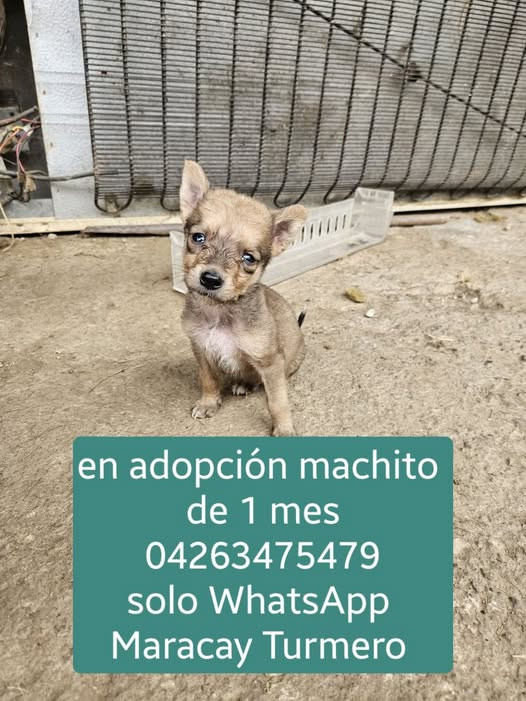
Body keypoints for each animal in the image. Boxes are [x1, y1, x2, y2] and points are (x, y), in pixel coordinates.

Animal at [179, 160, 307, 436]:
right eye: (197, 237)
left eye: (249, 258)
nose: (210, 279)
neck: (219, 311)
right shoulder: (201, 349)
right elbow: (208, 380)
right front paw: (208, 403)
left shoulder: (270, 363)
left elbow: (278, 401)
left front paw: (284, 428)